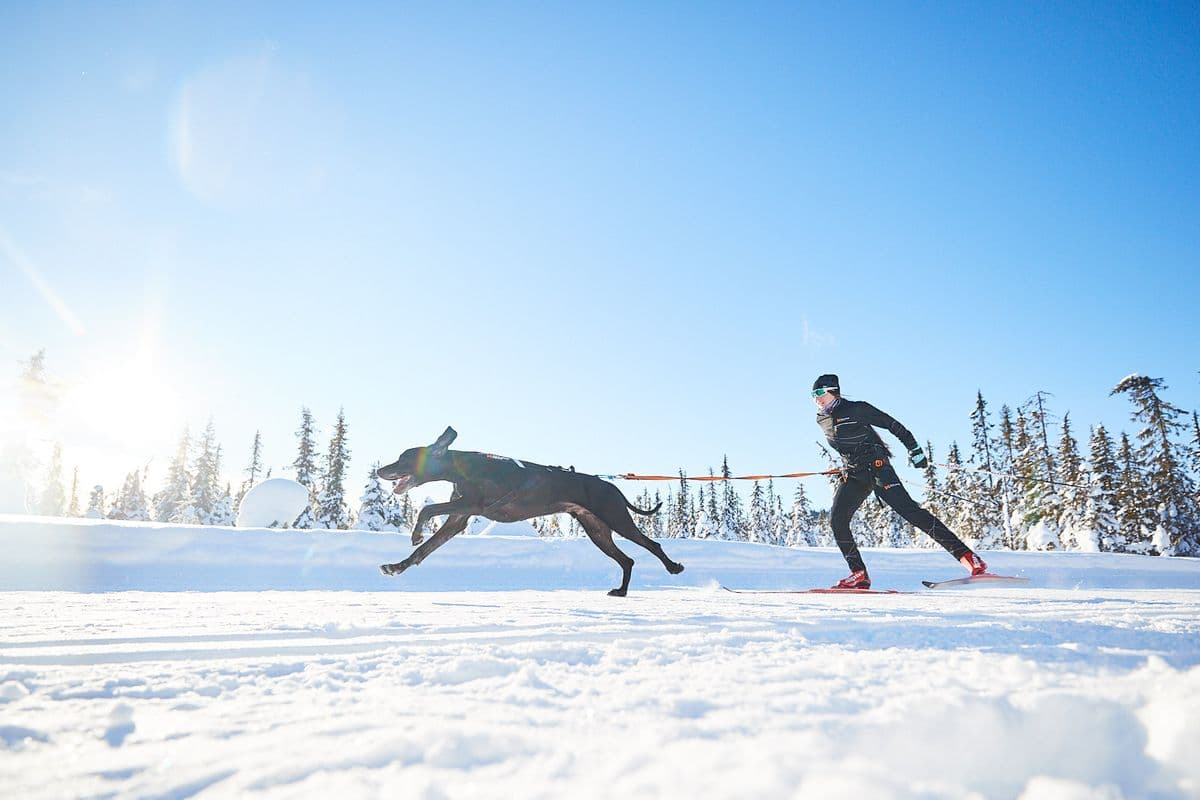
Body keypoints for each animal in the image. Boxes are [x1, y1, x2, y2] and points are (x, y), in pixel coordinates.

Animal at [374, 431, 686, 594]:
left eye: (403, 458)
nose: (379, 470)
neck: (463, 467)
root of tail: (611, 485)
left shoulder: (472, 505)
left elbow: (426, 509)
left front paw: (415, 534)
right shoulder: (457, 519)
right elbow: (424, 551)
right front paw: (397, 566)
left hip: (617, 519)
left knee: (652, 545)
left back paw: (673, 567)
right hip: (598, 531)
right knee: (628, 560)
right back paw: (621, 590)